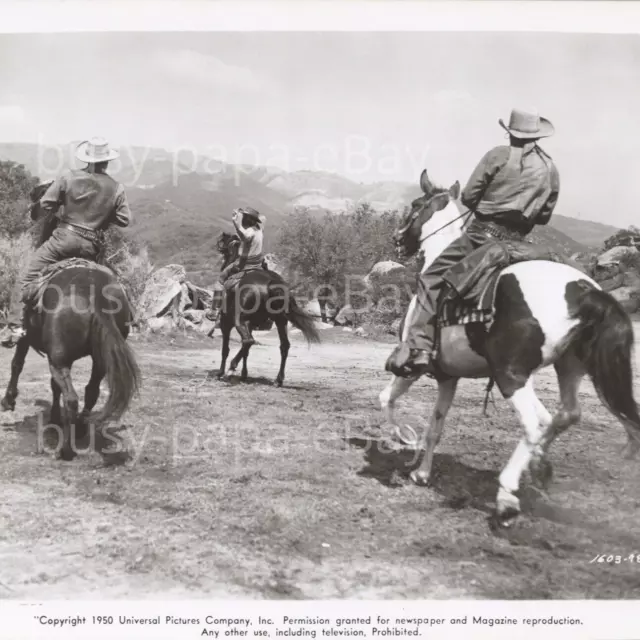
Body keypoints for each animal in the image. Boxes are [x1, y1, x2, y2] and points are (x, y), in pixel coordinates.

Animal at [0, 184, 141, 460]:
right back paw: (82, 428)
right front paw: (55, 417)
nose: (32, 211)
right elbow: (54, 387)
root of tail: (95, 295)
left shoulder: (30, 341)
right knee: (90, 392)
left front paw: (9, 401)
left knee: (72, 398)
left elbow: (17, 365)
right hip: (99, 358)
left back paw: (66, 449)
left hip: (59, 359)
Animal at [212, 232, 320, 388]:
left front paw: (221, 373)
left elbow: (225, 350)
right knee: (283, 346)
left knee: (248, 341)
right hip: (280, 321)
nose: (219, 250)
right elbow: (246, 352)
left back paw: (231, 369)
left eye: (224, 244)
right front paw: (244, 375)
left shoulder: (226, 324)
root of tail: (272, 283)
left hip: (239, 320)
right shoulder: (250, 324)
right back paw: (278, 379)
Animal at [378, 168, 640, 528]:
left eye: (416, 205)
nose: (397, 239)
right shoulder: (448, 377)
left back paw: (507, 495)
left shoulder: (412, 369)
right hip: (567, 367)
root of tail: (585, 290)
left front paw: (403, 440)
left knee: (535, 422)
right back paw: (538, 467)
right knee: (565, 414)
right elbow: (436, 426)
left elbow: (387, 400)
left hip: (510, 375)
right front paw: (422, 473)